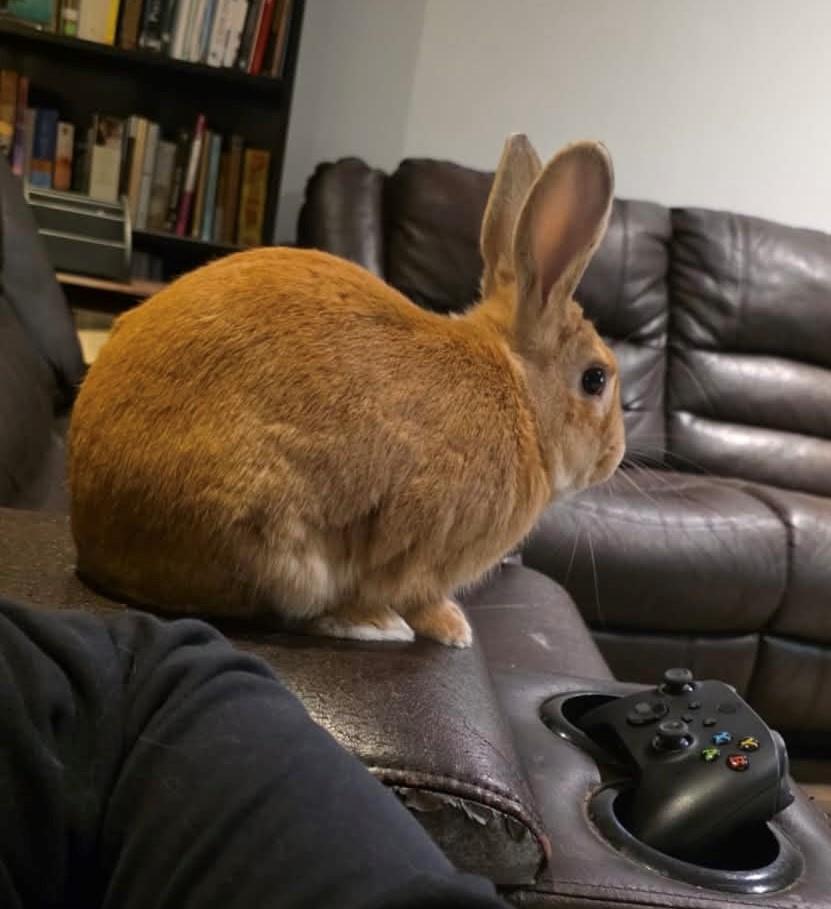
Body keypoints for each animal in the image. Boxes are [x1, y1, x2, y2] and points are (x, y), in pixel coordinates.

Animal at [68, 134, 625, 648]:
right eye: (595, 378)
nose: (616, 455)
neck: (523, 399)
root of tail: (90, 530)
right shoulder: (427, 551)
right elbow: (418, 594)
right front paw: (453, 629)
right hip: (275, 543)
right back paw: (376, 626)